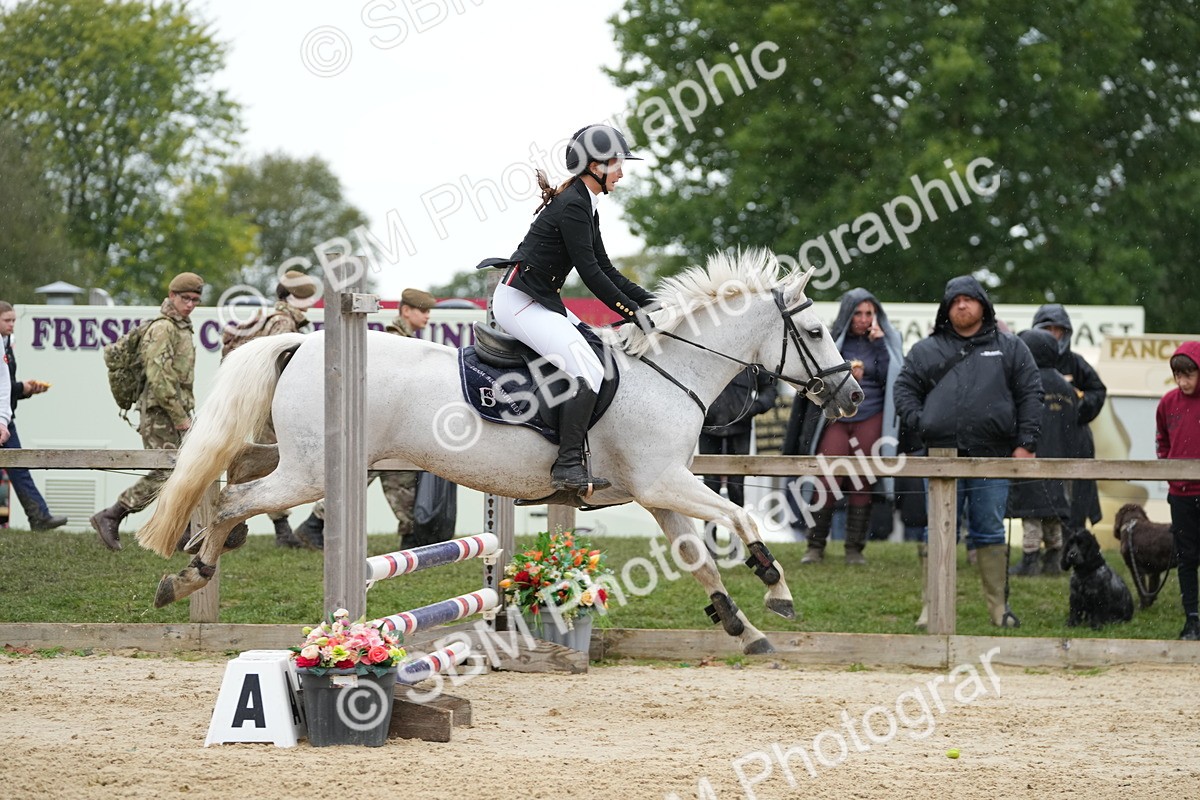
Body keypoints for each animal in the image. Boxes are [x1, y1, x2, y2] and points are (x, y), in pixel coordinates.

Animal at [136, 249, 863, 654]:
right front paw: (777, 591)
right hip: (316, 470)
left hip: (306, 463)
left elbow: (700, 562)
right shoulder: (664, 484)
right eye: (816, 331)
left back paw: (193, 562)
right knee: (237, 495)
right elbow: (740, 519)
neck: (669, 371)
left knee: (234, 471)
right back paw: (191, 572)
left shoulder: (659, 495)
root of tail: (303, 340)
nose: (852, 394)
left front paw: (745, 631)